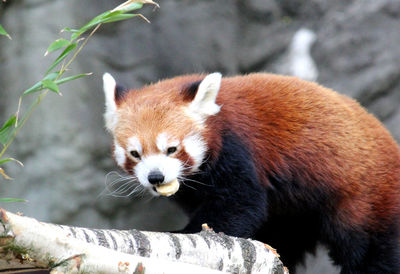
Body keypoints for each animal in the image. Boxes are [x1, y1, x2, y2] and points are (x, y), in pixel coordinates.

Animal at [102, 71, 400, 272]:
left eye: (172, 149)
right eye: (135, 153)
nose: (156, 177)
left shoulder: (238, 150)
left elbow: (240, 204)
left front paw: (185, 233)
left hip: (364, 198)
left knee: (371, 250)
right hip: (295, 215)